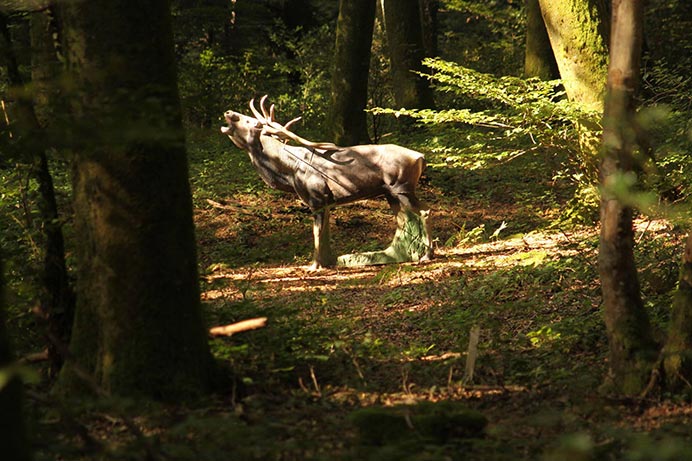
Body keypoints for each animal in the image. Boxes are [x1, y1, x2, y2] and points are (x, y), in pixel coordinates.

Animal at [220, 96, 432, 270]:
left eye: (249, 121)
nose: (228, 112)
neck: (289, 169)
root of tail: (421, 157)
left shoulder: (317, 198)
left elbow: (316, 233)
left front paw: (314, 266)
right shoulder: (325, 201)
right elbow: (324, 233)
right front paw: (327, 263)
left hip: (402, 187)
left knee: (423, 211)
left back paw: (425, 256)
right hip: (391, 193)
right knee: (405, 219)